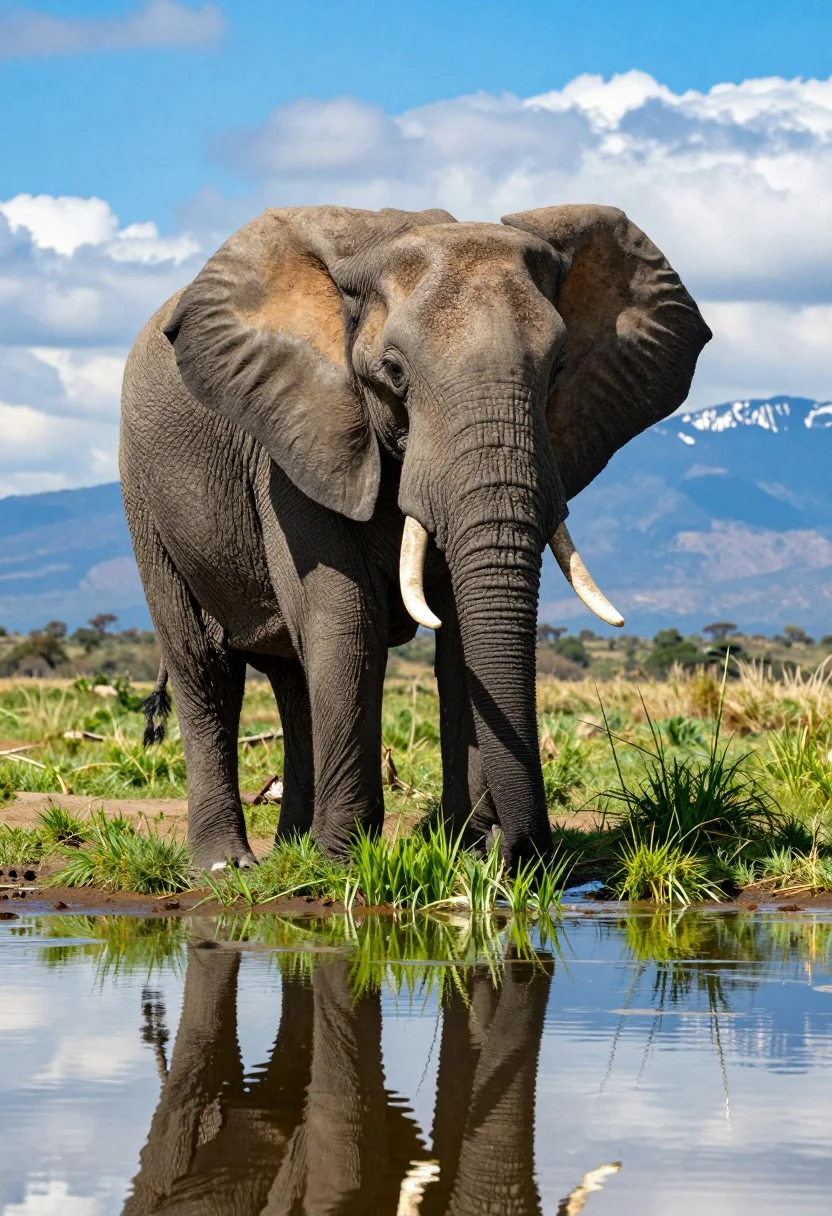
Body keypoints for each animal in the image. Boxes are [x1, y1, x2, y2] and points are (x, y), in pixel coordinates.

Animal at [121, 203, 710, 868]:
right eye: (394, 372)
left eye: (559, 368)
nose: (521, 852)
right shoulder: (299, 439)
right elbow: (347, 619)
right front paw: (345, 861)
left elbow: (457, 645)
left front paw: (465, 851)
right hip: (145, 497)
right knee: (205, 668)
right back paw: (229, 865)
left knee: (293, 680)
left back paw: (293, 848)